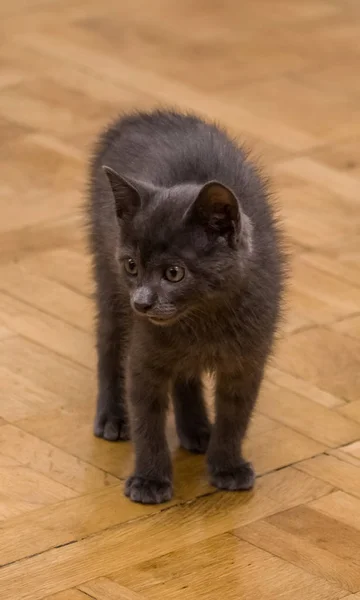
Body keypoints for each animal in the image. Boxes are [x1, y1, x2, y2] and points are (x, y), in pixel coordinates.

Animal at [87, 110, 286, 504]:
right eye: (132, 265)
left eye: (174, 273)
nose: (142, 302)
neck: (202, 319)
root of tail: (139, 117)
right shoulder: (145, 354)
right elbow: (147, 418)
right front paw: (150, 480)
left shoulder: (248, 358)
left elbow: (235, 414)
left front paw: (226, 465)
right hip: (109, 285)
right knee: (109, 343)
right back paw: (113, 416)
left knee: (185, 372)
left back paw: (196, 428)